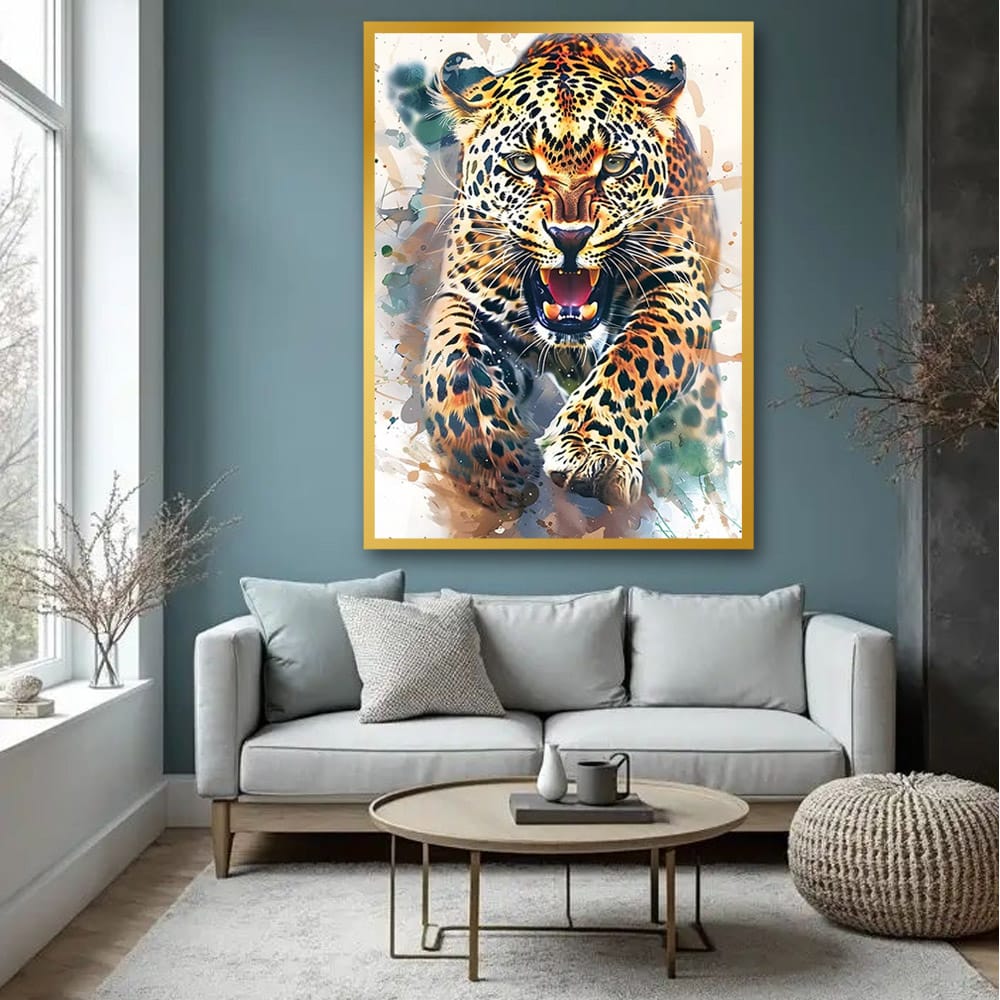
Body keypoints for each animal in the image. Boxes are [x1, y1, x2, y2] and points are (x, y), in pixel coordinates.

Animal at [419, 33, 723, 512]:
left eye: (614, 165)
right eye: (523, 164)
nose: (570, 236)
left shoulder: (679, 290)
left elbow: (636, 355)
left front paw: (591, 453)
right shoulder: (465, 291)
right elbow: (451, 360)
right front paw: (491, 461)